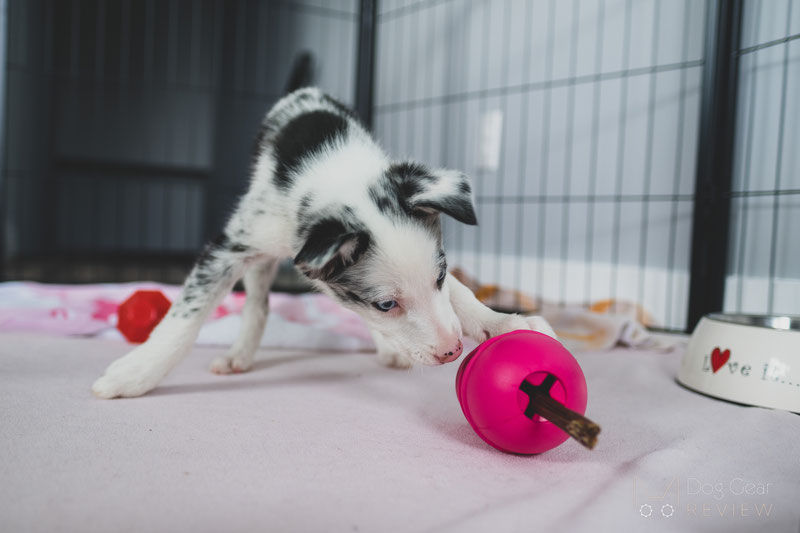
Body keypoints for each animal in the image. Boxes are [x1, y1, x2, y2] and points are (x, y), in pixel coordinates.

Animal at [92, 87, 556, 396]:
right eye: (385, 304)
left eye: (440, 277)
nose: (453, 351)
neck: (337, 173)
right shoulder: (232, 243)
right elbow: (184, 317)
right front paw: (134, 374)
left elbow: (461, 294)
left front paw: (505, 323)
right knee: (257, 302)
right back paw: (240, 353)